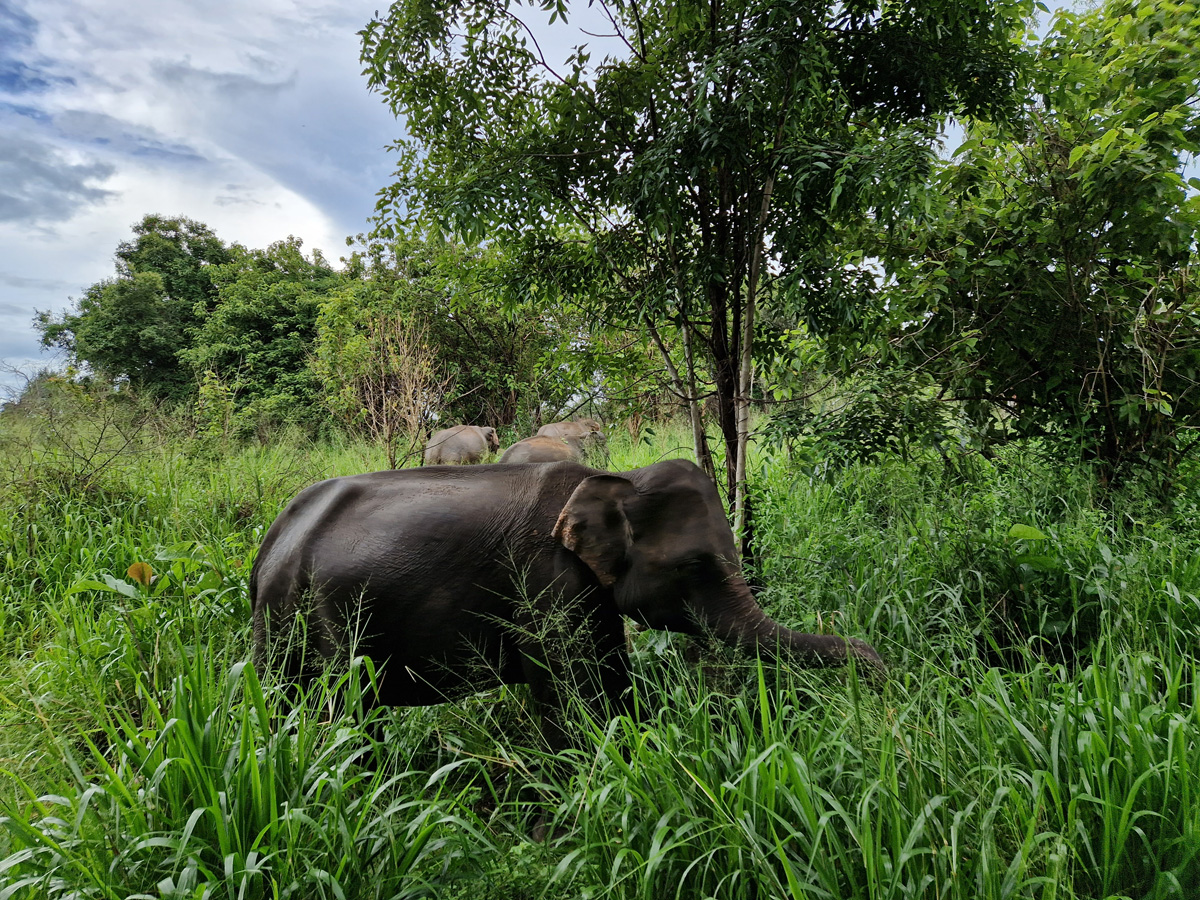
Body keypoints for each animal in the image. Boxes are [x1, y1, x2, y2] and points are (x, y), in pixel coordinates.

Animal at [251, 458, 883, 750]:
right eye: (693, 567)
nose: (876, 665)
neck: (615, 478)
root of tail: (270, 544)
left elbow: (610, 670)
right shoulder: (546, 581)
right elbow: (566, 687)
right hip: (307, 622)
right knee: (333, 709)